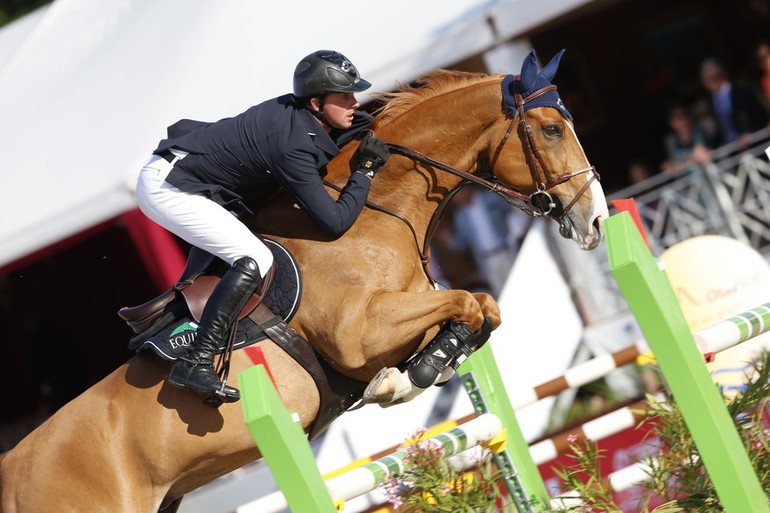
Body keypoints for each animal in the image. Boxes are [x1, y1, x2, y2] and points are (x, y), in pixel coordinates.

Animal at [0, 50, 608, 510]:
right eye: (551, 129)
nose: (596, 221)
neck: (374, 216)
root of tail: (11, 469)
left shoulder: (409, 309)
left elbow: (483, 305)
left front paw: (422, 369)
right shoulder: (358, 336)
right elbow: (467, 300)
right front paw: (408, 377)